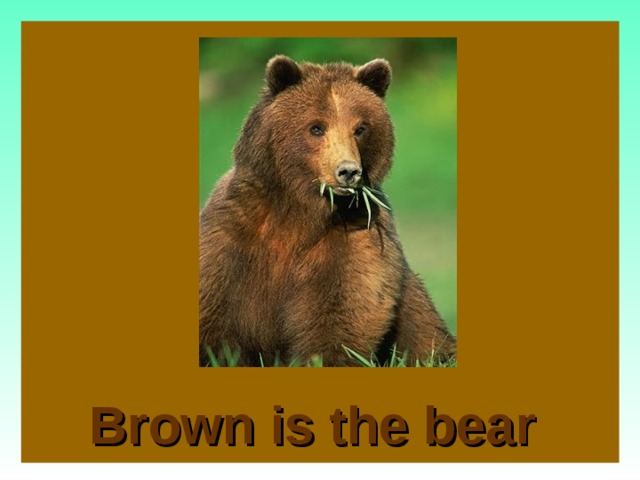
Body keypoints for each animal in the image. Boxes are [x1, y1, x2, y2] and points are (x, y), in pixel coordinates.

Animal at [199, 55, 456, 367]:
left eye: (360, 128)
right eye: (316, 128)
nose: (348, 171)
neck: (300, 209)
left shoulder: (354, 239)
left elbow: (339, 314)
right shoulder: (233, 235)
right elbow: (215, 315)